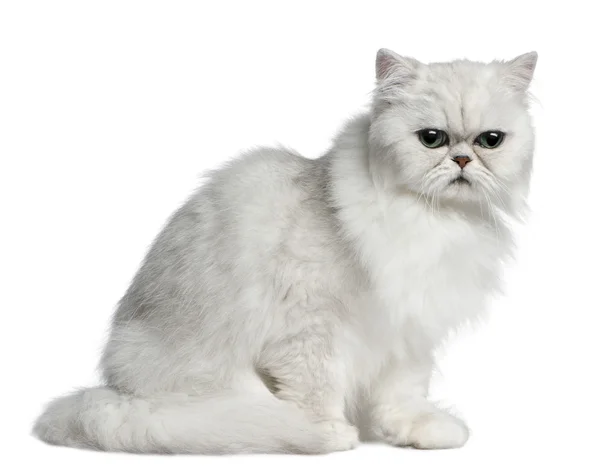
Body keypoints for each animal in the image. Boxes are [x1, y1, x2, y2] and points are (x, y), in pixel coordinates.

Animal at [34, 49, 540, 454]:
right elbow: (317, 389)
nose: (462, 160)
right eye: (431, 138)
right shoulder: (309, 328)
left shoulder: (409, 329)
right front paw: (328, 434)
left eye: (490, 140)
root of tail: (115, 391)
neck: (431, 220)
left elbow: (403, 392)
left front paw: (416, 432)